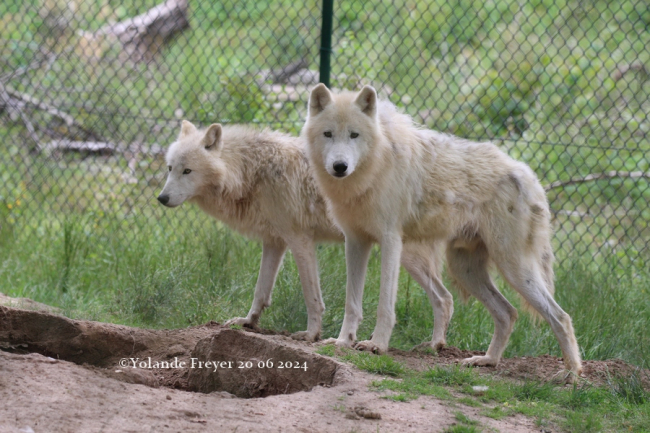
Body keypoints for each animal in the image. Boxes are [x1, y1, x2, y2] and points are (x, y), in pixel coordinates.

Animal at [304, 85, 584, 378]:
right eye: (328, 134)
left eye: (354, 135)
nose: (340, 166)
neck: (375, 166)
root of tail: (531, 177)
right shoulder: (356, 242)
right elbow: (352, 303)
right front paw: (343, 341)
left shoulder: (389, 241)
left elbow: (385, 305)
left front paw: (376, 345)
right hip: (460, 268)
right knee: (504, 312)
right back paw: (485, 360)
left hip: (511, 266)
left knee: (560, 316)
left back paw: (571, 374)